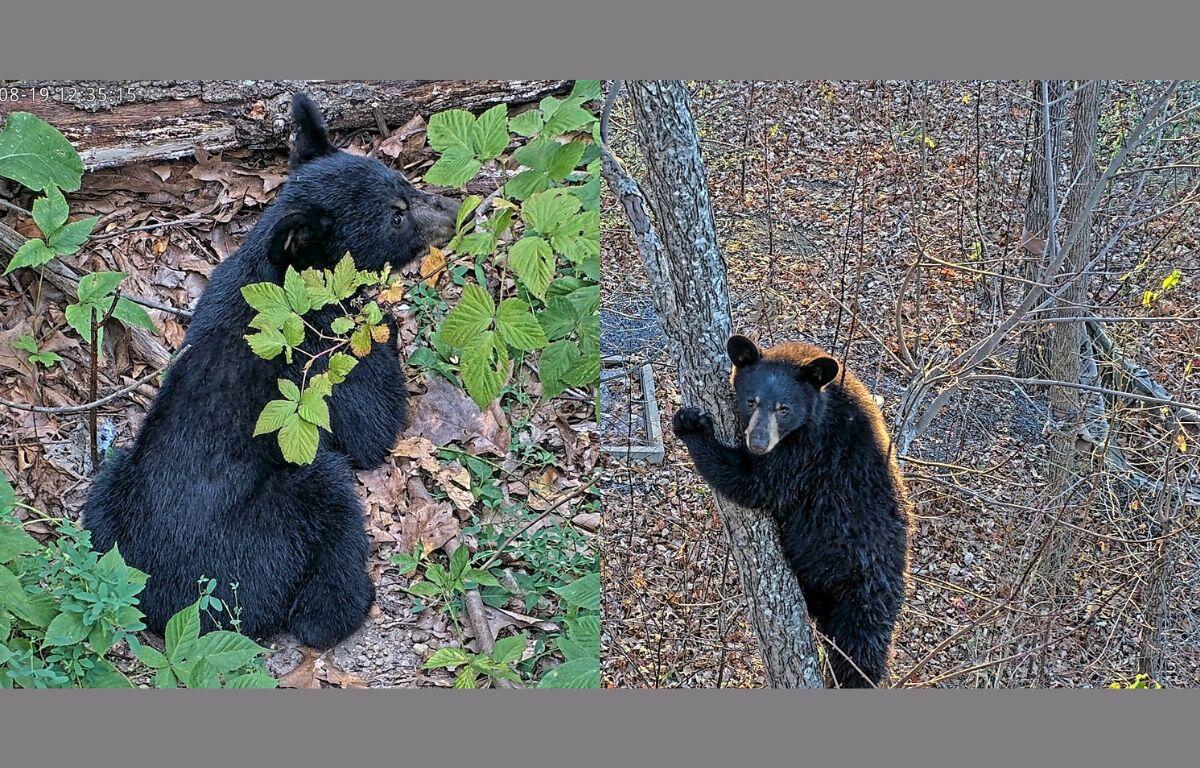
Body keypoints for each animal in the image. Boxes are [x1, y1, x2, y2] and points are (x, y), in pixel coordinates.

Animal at [83, 93, 457, 649]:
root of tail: (180, 609)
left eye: (403, 185)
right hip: (282, 509)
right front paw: (385, 321)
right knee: (331, 516)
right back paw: (345, 604)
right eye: (396, 216)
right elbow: (369, 423)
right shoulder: (320, 367)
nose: (453, 210)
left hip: (110, 499)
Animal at [671, 335, 910, 688]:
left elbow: (753, 483)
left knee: (859, 652)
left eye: (784, 408)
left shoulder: (808, 454)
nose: (758, 442)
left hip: (863, 594)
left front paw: (691, 426)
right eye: (752, 401)